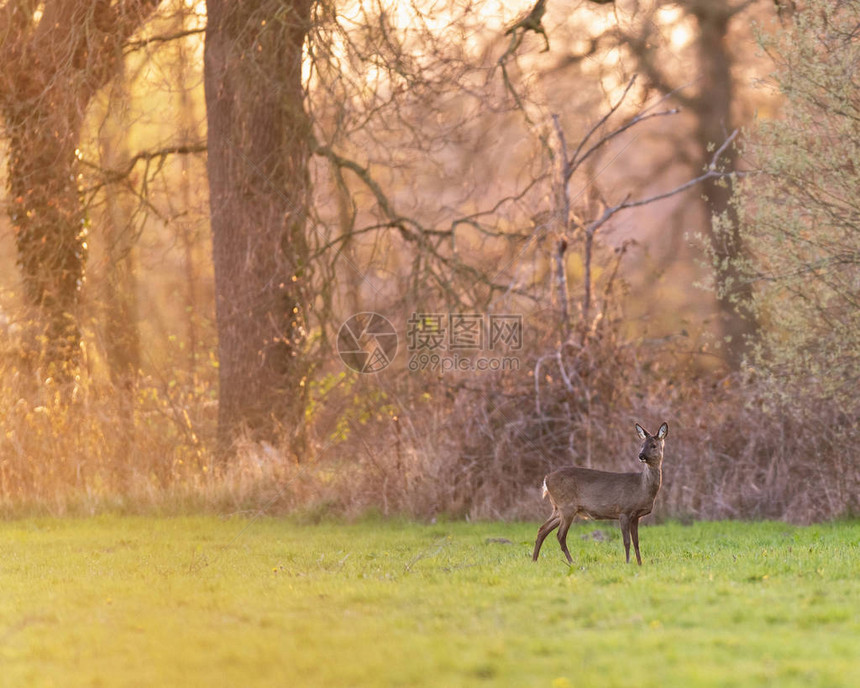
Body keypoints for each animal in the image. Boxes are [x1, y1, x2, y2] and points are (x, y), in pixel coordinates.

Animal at [536, 424, 668, 564]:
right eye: (642, 444)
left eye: (653, 445)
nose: (641, 455)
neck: (642, 487)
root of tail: (547, 479)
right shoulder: (624, 511)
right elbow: (627, 542)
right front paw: (627, 562)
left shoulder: (636, 516)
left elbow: (636, 542)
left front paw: (639, 564)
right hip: (567, 507)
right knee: (560, 535)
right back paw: (571, 562)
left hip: (558, 508)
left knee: (542, 530)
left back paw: (534, 560)